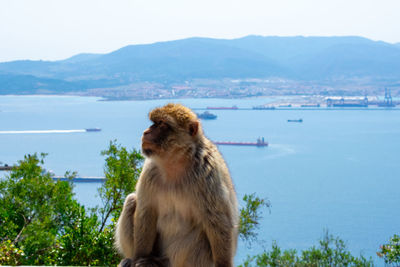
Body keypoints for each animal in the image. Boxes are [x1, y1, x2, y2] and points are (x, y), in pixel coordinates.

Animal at [114, 104, 239, 267]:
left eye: (161, 124)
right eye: (154, 122)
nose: (146, 132)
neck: (175, 161)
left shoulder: (207, 173)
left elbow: (218, 220)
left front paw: (223, 263)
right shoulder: (150, 170)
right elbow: (146, 211)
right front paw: (140, 258)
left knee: (203, 234)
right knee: (131, 200)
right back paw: (137, 259)